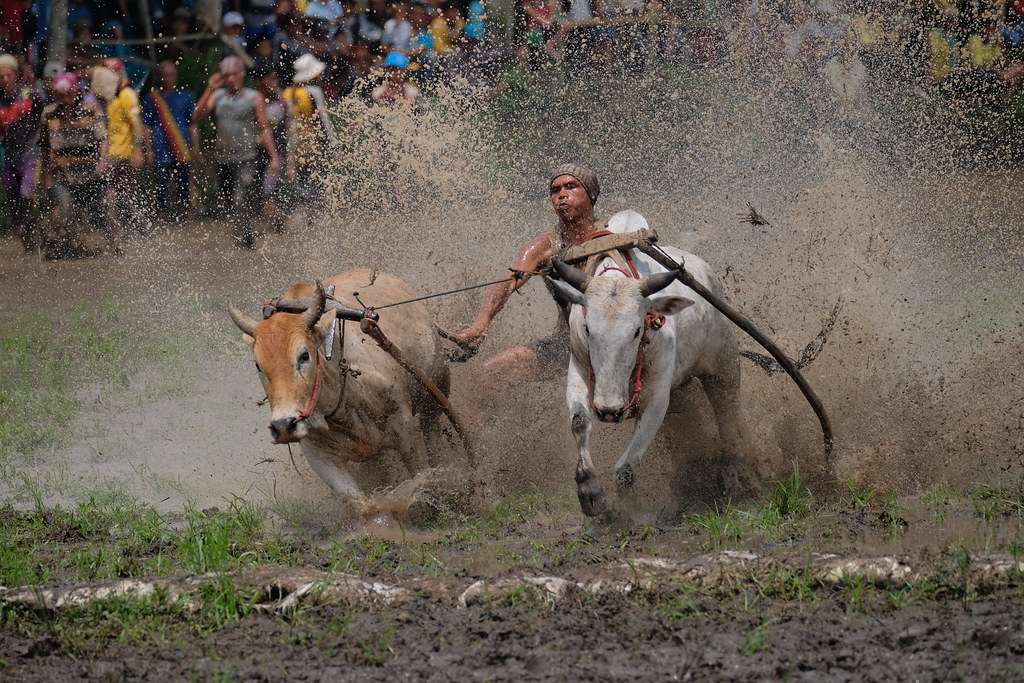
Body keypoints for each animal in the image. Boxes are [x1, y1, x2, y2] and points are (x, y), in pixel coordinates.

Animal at [230, 266, 450, 507]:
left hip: (434, 397)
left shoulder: (406, 429)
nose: (283, 426)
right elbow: (360, 505)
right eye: (258, 365)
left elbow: (421, 479)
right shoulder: (319, 455)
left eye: (304, 355)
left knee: (432, 436)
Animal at [552, 210, 753, 516]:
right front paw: (590, 492)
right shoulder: (578, 367)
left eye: (637, 330)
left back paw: (735, 477)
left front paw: (625, 513)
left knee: (727, 416)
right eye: (587, 328)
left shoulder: (657, 398)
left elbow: (625, 468)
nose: (608, 410)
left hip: (724, 367)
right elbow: (579, 421)